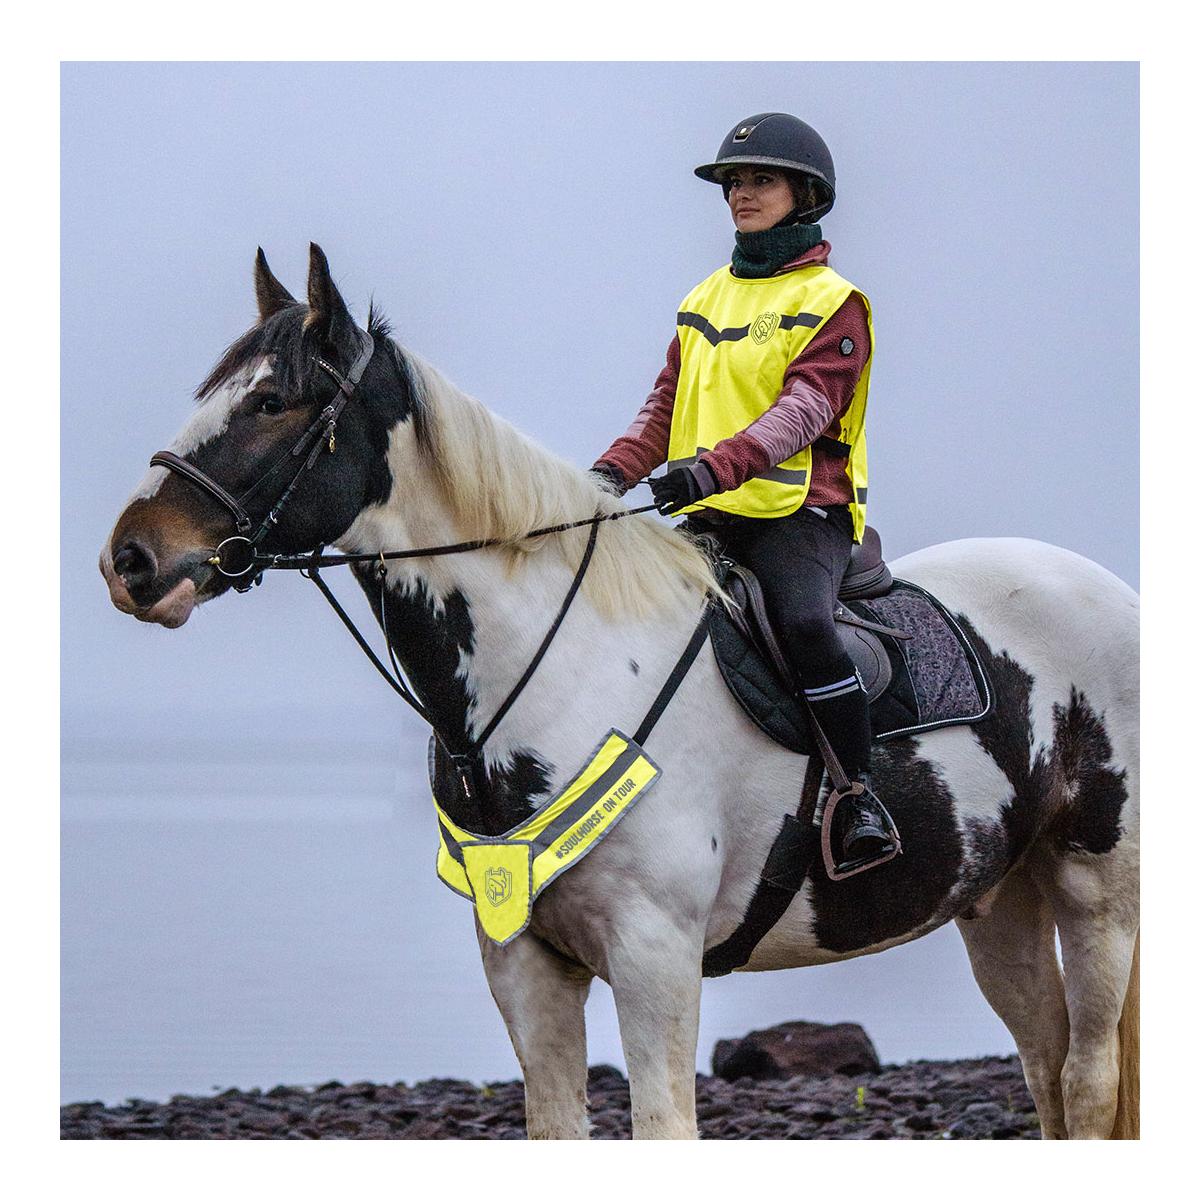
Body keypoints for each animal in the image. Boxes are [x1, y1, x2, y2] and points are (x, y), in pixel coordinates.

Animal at [99, 244, 1139, 1140]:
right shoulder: (526, 964)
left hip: (1097, 889)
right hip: (999, 898)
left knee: (1086, 1082)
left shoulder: (655, 961)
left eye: (273, 400)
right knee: (1044, 1069)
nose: (131, 561)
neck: (556, 670)